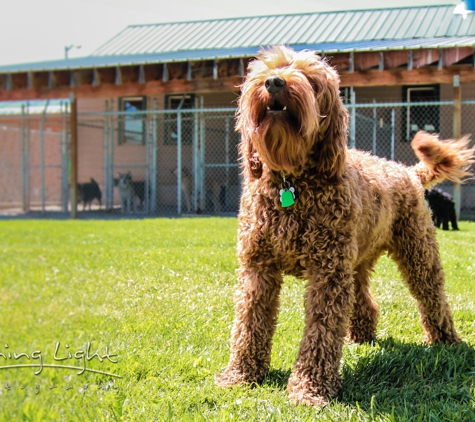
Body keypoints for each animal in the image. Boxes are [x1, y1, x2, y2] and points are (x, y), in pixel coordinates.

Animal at [216, 45, 475, 406]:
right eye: (266, 69)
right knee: (364, 300)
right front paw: (241, 375)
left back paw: (446, 340)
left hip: (417, 252)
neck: (292, 182)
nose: (275, 82)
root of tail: (407, 171)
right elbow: (249, 323)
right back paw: (361, 336)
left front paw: (310, 388)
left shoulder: (328, 272)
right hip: (356, 262)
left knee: (432, 296)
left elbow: (321, 331)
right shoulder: (258, 267)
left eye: (311, 79)